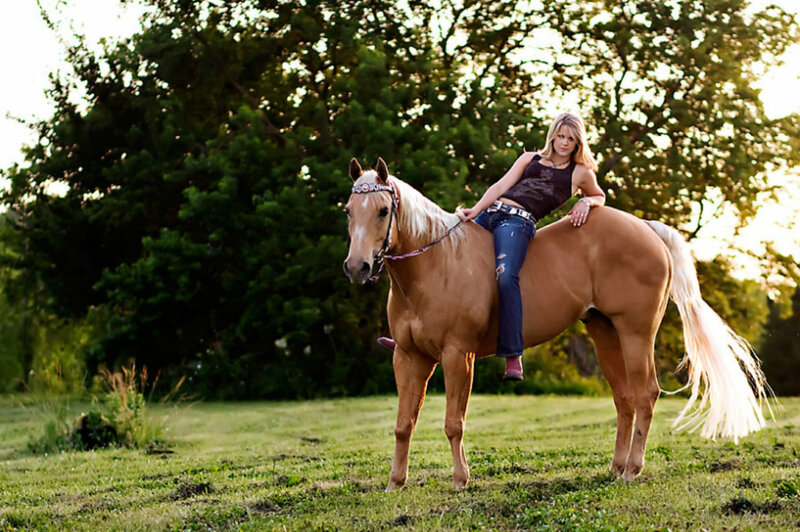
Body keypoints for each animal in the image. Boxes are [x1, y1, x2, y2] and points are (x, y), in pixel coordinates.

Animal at [343, 157, 770, 491]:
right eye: (348, 210)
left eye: (383, 211)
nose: (356, 267)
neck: (436, 262)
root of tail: (647, 228)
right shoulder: (408, 358)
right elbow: (403, 424)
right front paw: (395, 483)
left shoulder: (457, 356)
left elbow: (453, 422)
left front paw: (461, 480)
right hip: (604, 332)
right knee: (625, 399)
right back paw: (616, 467)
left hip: (636, 332)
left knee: (646, 394)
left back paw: (632, 470)